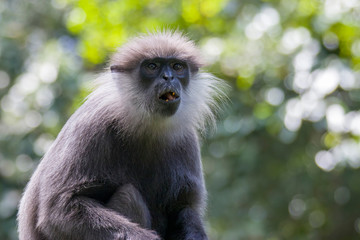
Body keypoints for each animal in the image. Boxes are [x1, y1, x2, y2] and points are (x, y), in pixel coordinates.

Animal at [17, 30, 228, 240]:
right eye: (152, 66)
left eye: (177, 67)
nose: (168, 77)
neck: (147, 126)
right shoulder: (92, 126)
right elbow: (58, 210)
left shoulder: (186, 138)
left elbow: (183, 206)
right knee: (128, 194)